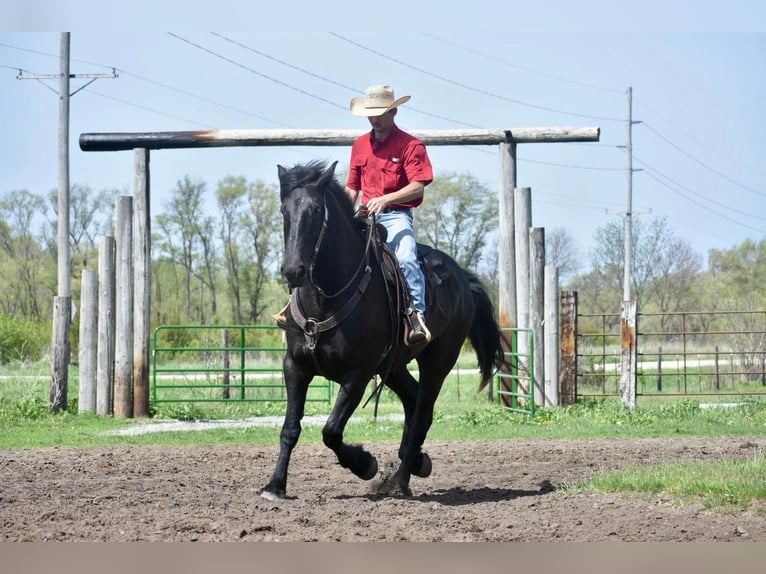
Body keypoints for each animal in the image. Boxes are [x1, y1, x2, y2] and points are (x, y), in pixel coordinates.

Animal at [260, 161, 512, 500]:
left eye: (315, 209)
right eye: (284, 210)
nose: (293, 270)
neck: (327, 299)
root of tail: (461, 277)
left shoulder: (359, 373)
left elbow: (331, 431)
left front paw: (365, 464)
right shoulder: (295, 366)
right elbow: (290, 429)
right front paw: (275, 485)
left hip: (438, 362)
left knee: (422, 413)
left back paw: (400, 479)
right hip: (393, 366)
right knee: (413, 399)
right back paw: (415, 459)